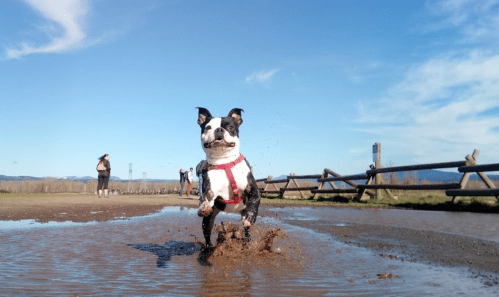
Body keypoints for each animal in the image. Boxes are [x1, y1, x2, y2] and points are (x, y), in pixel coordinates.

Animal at [196, 107, 262, 246]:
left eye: (230, 127)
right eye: (208, 127)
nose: (219, 129)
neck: (224, 162)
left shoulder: (252, 188)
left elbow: (255, 199)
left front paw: (250, 216)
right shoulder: (210, 187)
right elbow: (207, 194)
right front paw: (204, 204)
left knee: (246, 230)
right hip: (208, 220)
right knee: (207, 231)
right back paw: (209, 247)